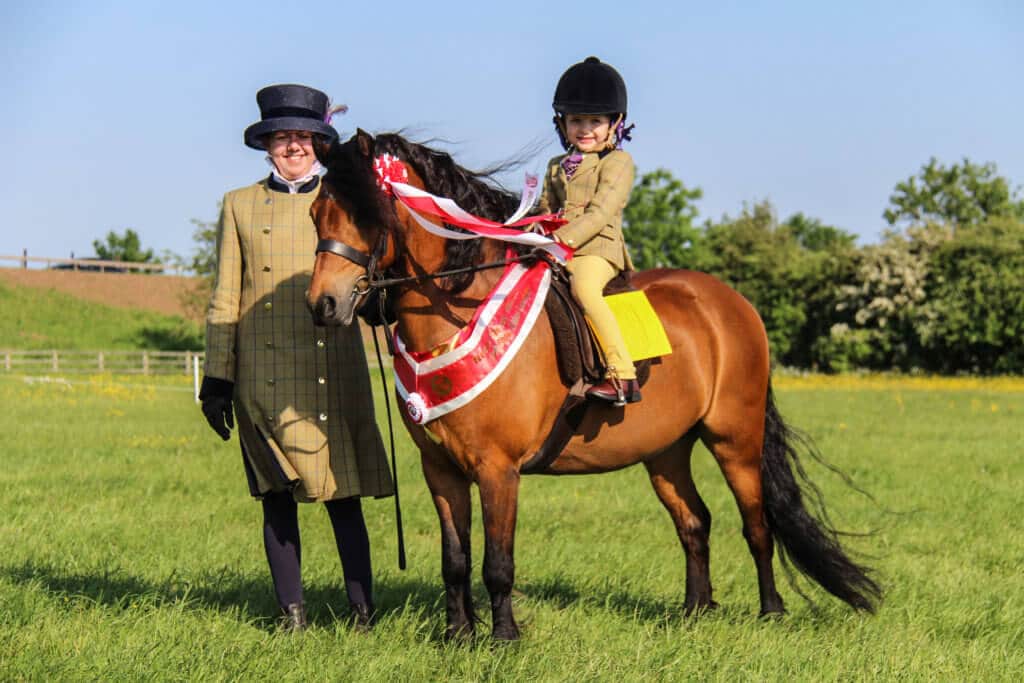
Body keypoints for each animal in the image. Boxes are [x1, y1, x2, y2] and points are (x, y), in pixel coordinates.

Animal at [307, 129, 881, 640]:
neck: (463, 308)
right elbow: (455, 560)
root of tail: (733, 303)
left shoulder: (498, 470)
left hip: (734, 439)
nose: (323, 306)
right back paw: (695, 612)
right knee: (694, 521)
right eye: (316, 215)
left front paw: (504, 638)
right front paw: (457, 636)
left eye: (368, 215)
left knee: (757, 525)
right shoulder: (441, 470)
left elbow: (497, 562)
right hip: (667, 450)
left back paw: (771, 613)